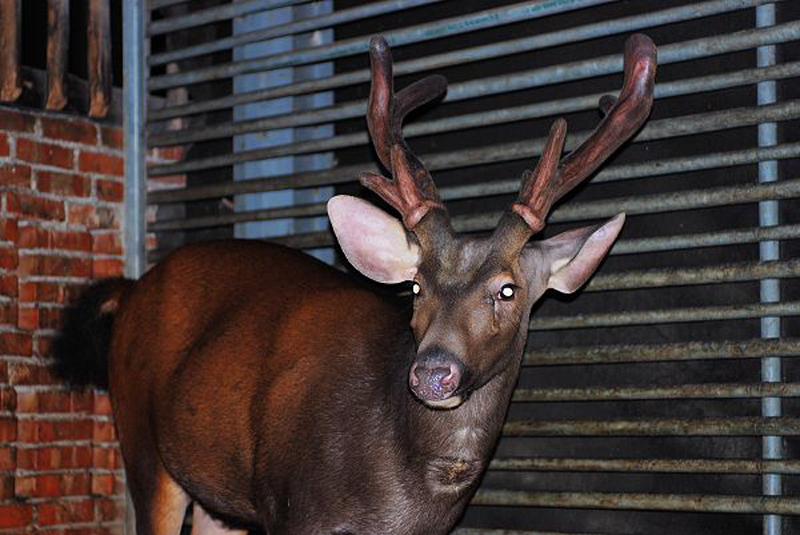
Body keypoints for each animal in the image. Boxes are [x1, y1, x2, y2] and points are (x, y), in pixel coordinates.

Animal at [52, 34, 656, 535]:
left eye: (507, 290)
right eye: (416, 287)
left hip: (217, 491)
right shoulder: (293, 510)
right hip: (143, 443)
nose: (433, 373)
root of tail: (130, 291)